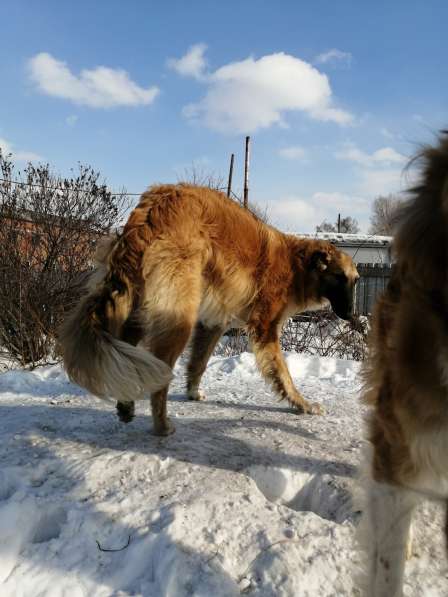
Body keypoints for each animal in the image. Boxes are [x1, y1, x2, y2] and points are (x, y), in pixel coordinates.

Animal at [59, 184, 358, 436]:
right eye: (340, 278)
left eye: (355, 280)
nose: (352, 315)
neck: (297, 265)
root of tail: (152, 210)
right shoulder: (265, 328)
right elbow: (283, 373)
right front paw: (302, 404)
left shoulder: (214, 322)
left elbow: (198, 363)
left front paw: (193, 392)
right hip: (179, 316)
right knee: (159, 375)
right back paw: (162, 425)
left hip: (140, 309)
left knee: (131, 356)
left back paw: (126, 406)